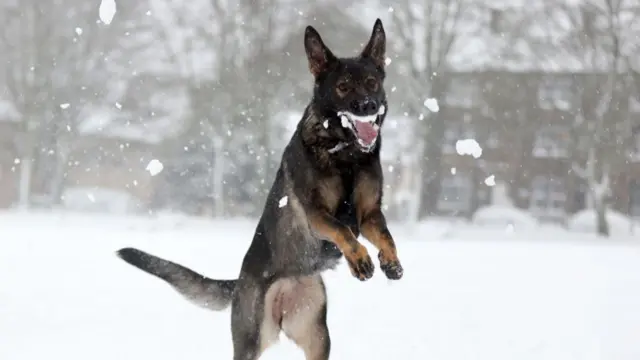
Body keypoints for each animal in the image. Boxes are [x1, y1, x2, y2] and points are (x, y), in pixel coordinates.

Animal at [115, 19, 402, 360]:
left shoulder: (369, 213)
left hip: (318, 338)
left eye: (372, 82)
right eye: (343, 87)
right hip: (252, 338)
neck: (346, 154)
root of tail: (240, 281)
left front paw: (390, 261)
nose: (368, 106)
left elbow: (385, 235)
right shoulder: (316, 214)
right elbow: (342, 230)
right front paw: (359, 259)